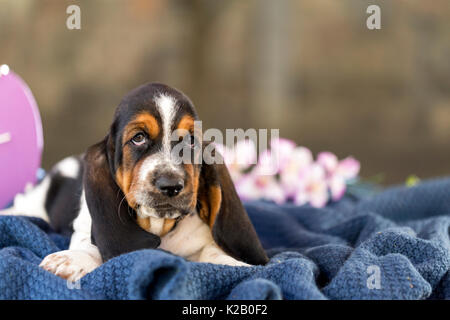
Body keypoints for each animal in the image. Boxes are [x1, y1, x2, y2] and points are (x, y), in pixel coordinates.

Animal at [0, 83, 268, 282]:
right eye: (138, 138)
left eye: (191, 141)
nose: (171, 185)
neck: (158, 225)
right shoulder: (85, 226)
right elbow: (91, 244)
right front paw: (73, 259)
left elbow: (211, 249)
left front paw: (232, 263)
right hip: (31, 205)